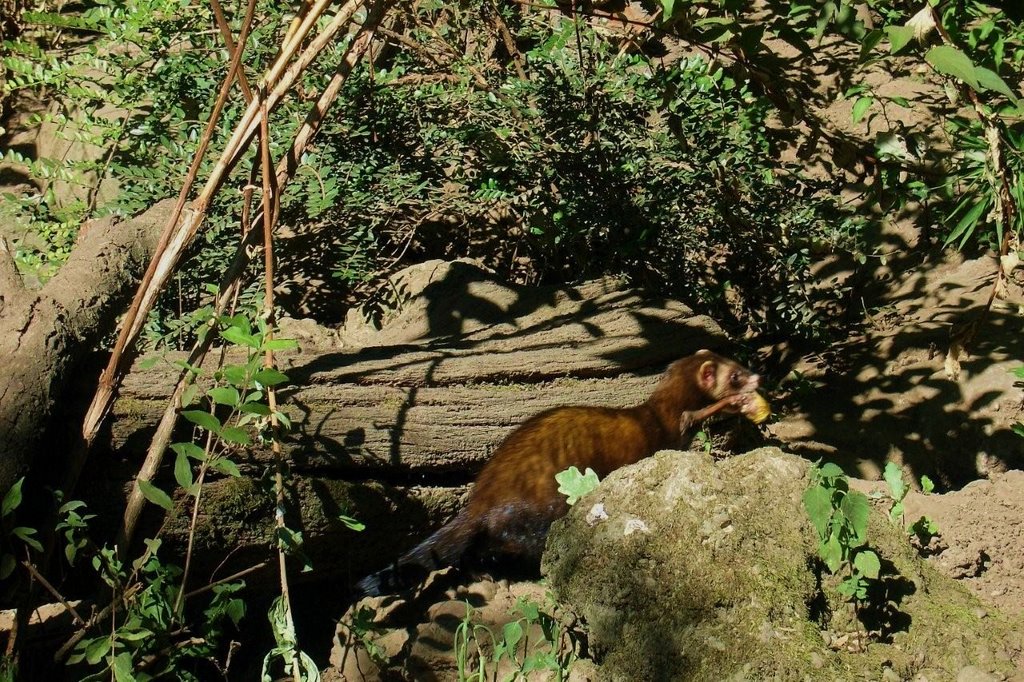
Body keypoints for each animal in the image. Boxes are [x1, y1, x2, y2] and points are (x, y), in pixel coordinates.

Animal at [358, 348, 761, 593]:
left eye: (737, 362)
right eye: (735, 375)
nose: (757, 378)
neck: (658, 415)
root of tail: (482, 497)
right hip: (539, 511)